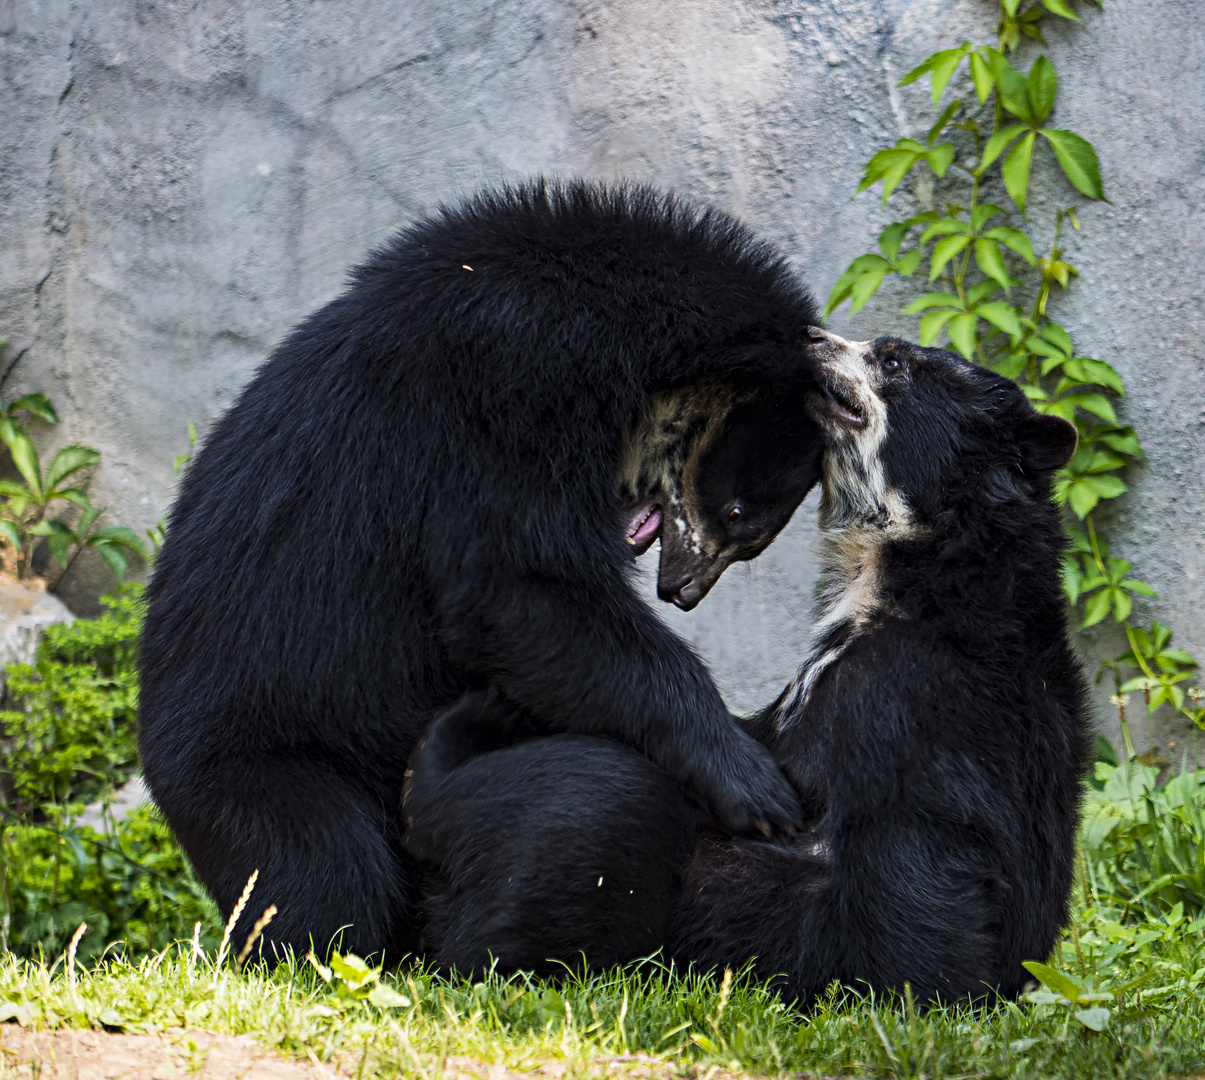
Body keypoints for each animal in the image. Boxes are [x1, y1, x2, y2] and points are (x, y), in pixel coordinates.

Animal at [138, 179, 819, 964]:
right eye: (736, 512)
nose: (680, 591)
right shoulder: (510, 400)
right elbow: (518, 591)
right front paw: (757, 788)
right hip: (258, 758)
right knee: (326, 867)